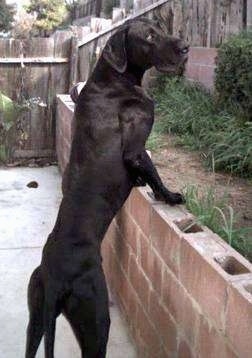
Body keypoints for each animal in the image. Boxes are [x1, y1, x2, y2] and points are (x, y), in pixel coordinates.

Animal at [25, 18, 188, 356]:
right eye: (149, 36)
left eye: (160, 27)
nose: (185, 48)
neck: (113, 79)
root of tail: (55, 278)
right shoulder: (136, 148)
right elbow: (153, 173)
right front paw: (170, 196)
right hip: (96, 320)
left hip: (35, 317)